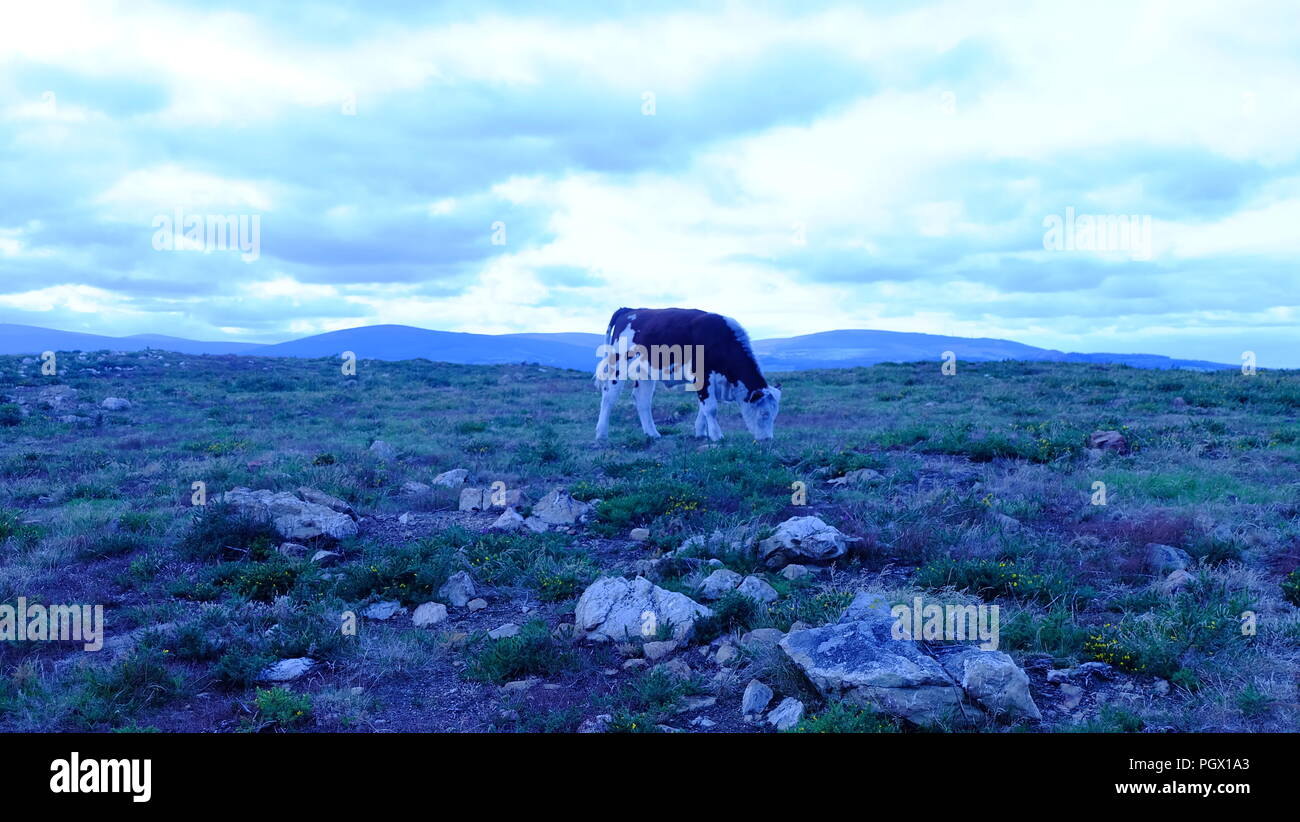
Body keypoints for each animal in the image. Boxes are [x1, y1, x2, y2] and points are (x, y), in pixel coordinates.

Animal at [592, 305, 780, 439]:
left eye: (774, 415)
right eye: (764, 414)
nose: (768, 439)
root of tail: (630, 310)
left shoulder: (714, 382)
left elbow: (704, 408)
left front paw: (701, 432)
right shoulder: (702, 375)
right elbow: (711, 408)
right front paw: (717, 436)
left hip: (645, 372)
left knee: (641, 399)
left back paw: (652, 434)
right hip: (619, 365)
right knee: (609, 396)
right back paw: (601, 434)